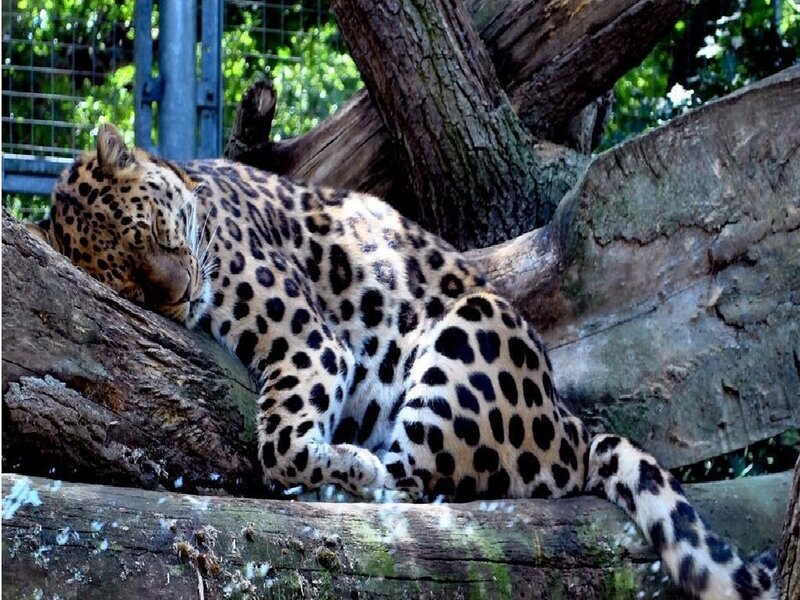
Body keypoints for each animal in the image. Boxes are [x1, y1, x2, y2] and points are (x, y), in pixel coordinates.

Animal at [28, 123, 778, 600]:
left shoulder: (311, 337)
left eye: (156, 232)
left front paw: (333, 464)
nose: (180, 293)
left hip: (470, 330)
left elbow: (278, 443)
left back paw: (350, 477)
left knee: (427, 483)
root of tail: (569, 421)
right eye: (128, 285)